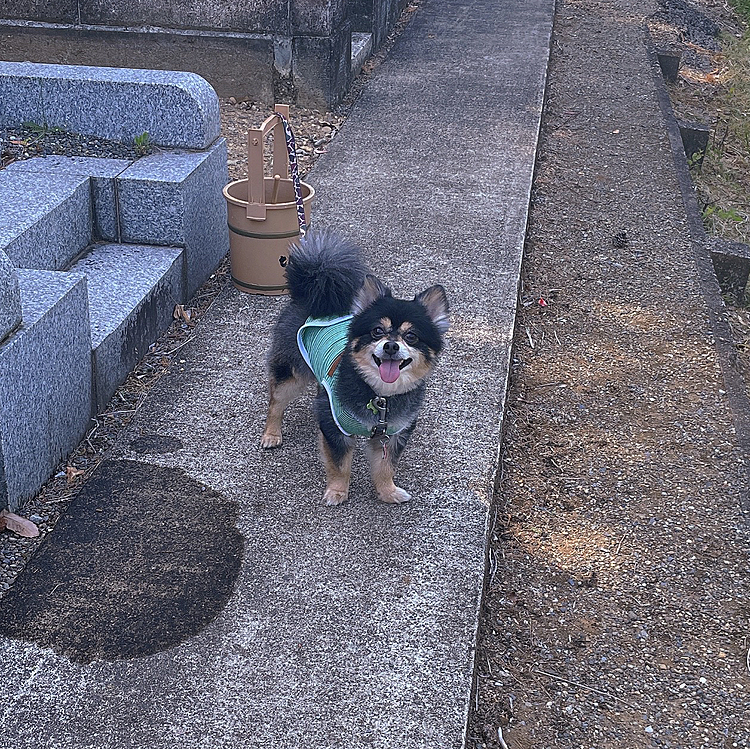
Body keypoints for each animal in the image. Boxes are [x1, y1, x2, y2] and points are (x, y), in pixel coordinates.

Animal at [262, 231, 450, 506]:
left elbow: (386, 467)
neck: (380, 396)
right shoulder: (334, 428)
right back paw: (272, 434)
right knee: (276, 401)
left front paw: (388, 492)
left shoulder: (393, 434)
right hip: (291, 374)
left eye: (411, 336)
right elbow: (340, 465)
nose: (391, 346)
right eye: (377, 331)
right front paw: (337, 492)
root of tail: (313, 295)